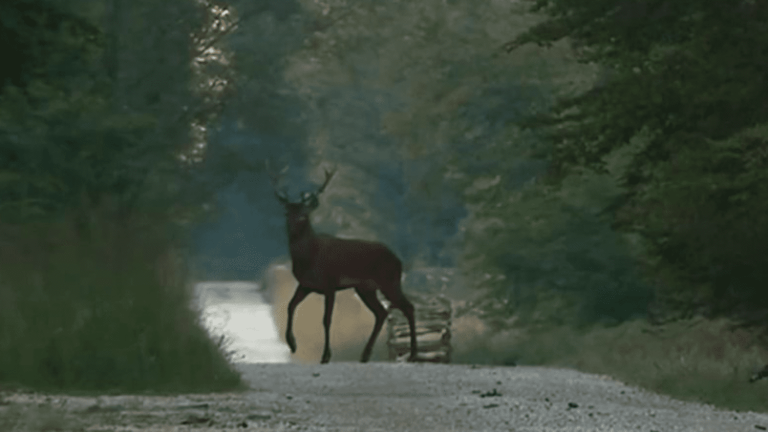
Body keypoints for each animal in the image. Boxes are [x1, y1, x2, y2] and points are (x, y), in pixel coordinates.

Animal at [268, 165, 416, 364]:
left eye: (305, 214)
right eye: (287, 213)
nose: (294, 225)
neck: (309, 258)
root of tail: (398, 259)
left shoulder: (330, 283)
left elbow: (326, 319)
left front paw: (325, 356)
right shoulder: (306, 284)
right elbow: (290, 306)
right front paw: (292, 344)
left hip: (389, 281)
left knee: (408, 307)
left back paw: (413, 354)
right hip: (365, 288)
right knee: (381, 312)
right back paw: (365, 355)